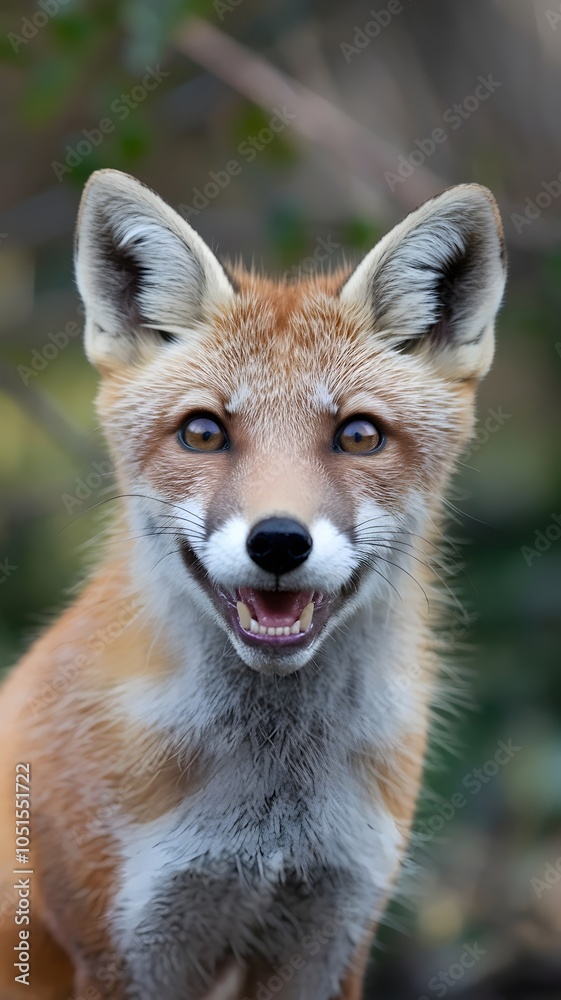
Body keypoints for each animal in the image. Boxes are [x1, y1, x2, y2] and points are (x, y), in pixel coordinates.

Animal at [0, 169, 506, 1000]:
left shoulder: (331, 937)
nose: (277, 542)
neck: (272, 808)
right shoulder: (121, 950)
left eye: (358, 435)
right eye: (203, 432)